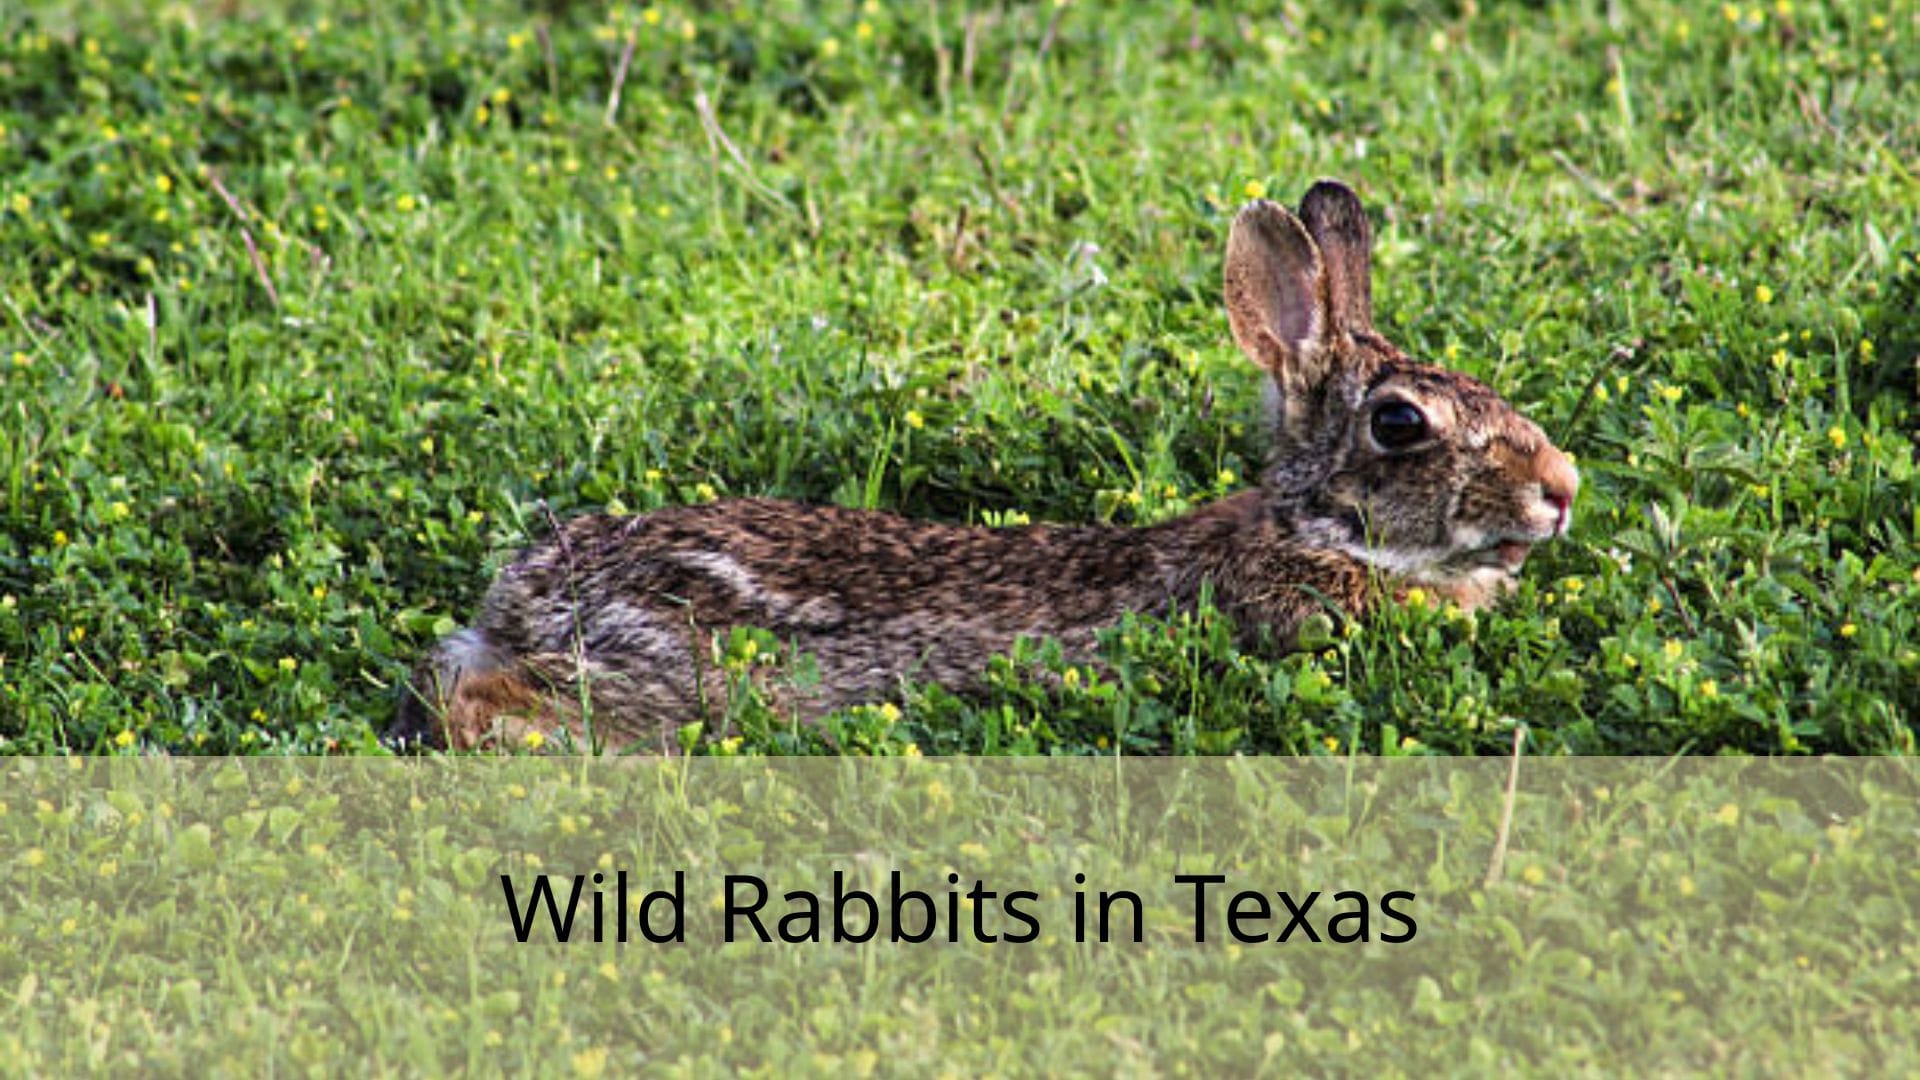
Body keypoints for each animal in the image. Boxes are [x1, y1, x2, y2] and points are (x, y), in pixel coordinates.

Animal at [388, 180, 1578, 752]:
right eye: (1400, 426)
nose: (1561, 489)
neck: (1314, 532)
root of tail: (525, 593)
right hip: (662, 675)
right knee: (483, 705)